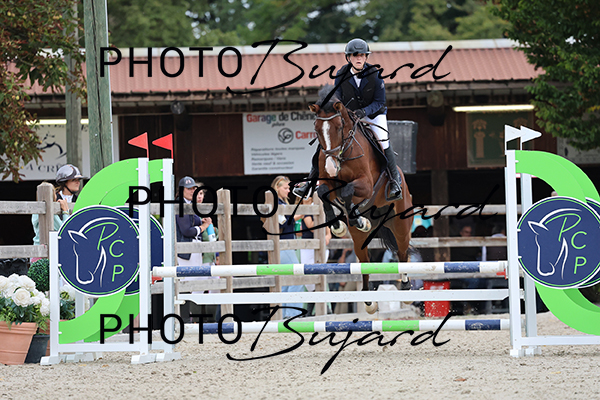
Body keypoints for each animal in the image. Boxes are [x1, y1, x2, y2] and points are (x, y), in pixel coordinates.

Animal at [307, 85, 414, 313]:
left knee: (402, 253)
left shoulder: (365, 184)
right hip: (358, 240)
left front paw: (355, 217)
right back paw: (369, 301)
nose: (331, 167)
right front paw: (340, 225)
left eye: (339, 127)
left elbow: (348, 191)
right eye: (317, 130)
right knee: (364, 261)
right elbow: (323, 193)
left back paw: (407, 288)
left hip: (401, 225)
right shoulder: (328, 184)